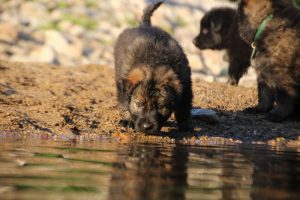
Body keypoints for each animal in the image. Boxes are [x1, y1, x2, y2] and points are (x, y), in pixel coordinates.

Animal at [113, 1, 193, 134]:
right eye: (139, 104)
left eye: (160, 106)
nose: (147, 127)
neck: (154, 61)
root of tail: (145, 25)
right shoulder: (123, 81)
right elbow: (124, 101)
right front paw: (127, 120)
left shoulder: (185, 85)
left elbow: (184, 108)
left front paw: (185, 126)